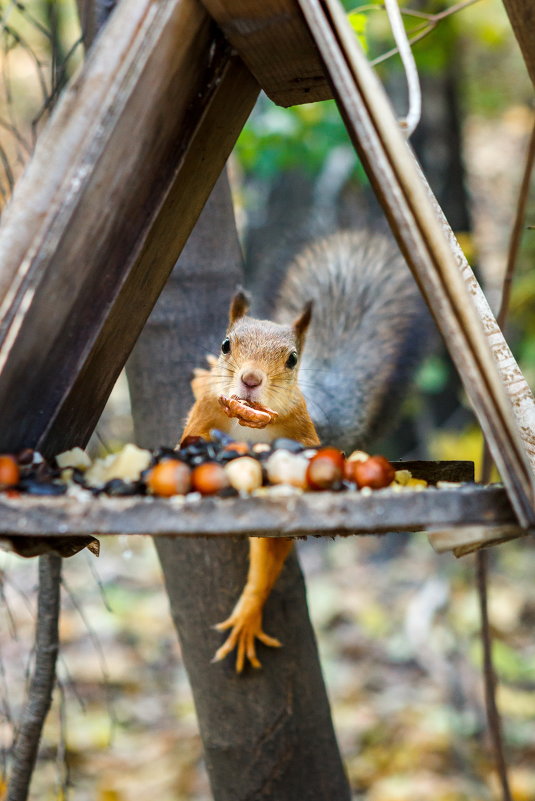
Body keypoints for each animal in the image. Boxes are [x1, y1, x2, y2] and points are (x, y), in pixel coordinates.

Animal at [182, 228, 430, 672]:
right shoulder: (208, 409)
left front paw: (248, 615)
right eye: (227, 344)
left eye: (293, 359)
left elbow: (270, 550)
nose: (249, 379)